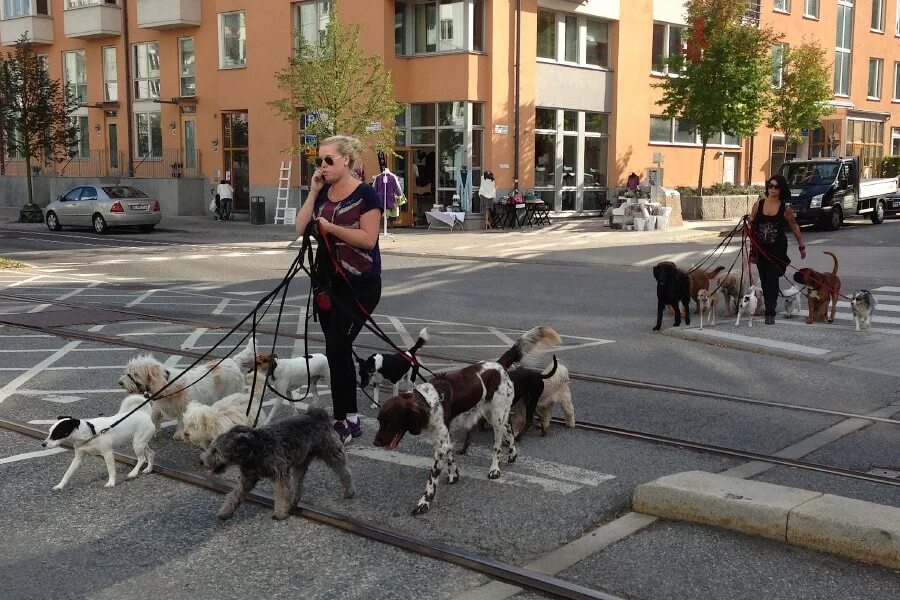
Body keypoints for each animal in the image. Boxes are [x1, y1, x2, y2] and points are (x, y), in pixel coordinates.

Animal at [118, 336, 255, 438]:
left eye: (135, 374)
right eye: (128, 371)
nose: (120, 383)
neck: (166, 384)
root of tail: (233, 362)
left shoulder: (183, 408)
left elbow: (180, 421)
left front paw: (179, 434)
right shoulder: (158, 407)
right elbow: (154, 417)